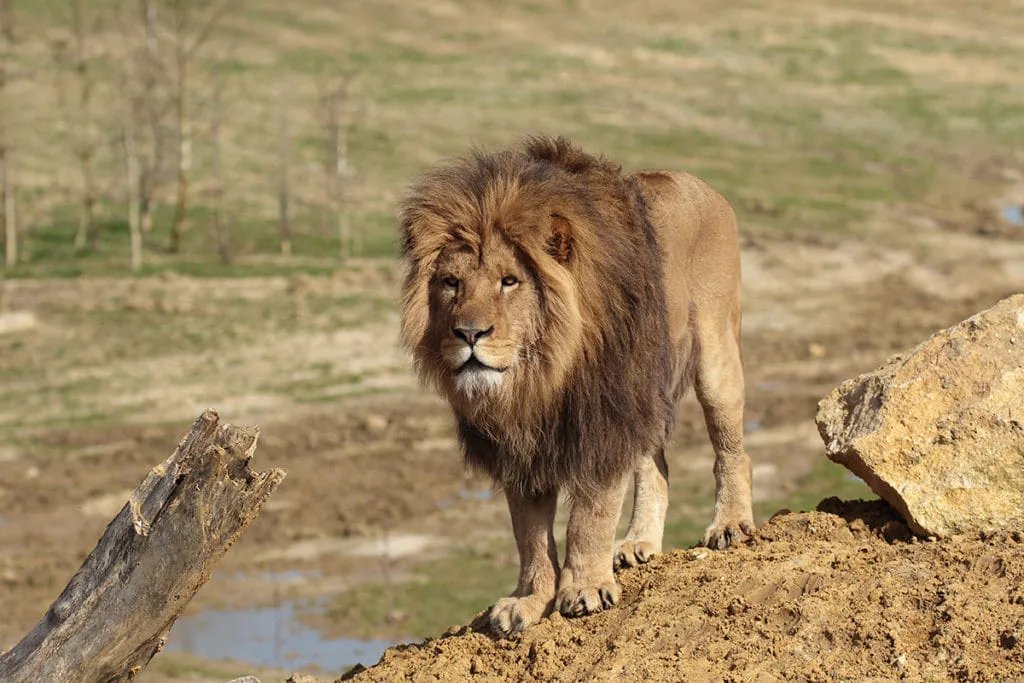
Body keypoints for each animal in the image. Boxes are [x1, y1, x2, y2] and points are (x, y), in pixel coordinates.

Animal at [399, 136, 754, 637]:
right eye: (451, 283)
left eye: (509, 281)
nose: (469, 333)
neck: (539, 377)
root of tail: (701, 185)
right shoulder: (520, 447)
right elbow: (529, 535)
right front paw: (528, 601)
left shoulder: (605, 419)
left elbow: (591, 516)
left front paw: (584, 589)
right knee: (655, 467)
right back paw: (639, 542)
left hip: (714, 359)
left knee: (732, 451)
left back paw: (730, 524)